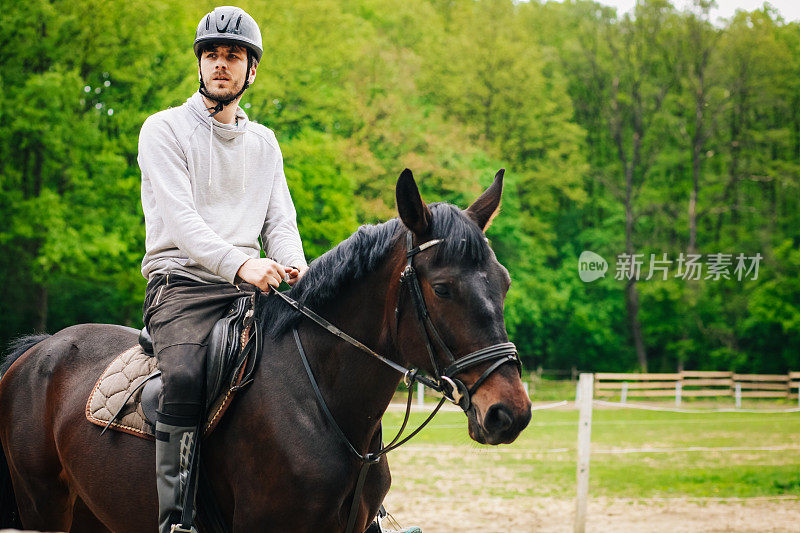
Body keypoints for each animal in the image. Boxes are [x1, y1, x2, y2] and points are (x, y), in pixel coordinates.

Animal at [0, 171, 532, 532]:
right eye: (442, 289)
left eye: (504, 282)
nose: (510, 413)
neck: (319, 403)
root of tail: (39, 350)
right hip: (43, 505)